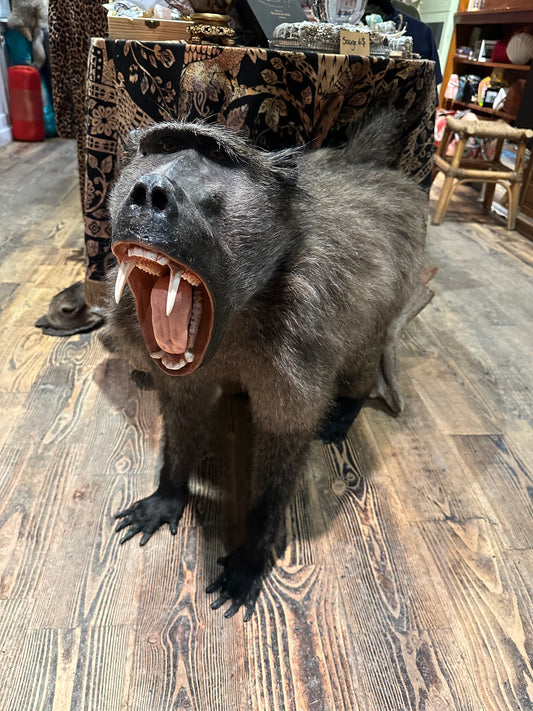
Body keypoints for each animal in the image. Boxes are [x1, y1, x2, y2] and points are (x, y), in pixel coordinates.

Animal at [101, 111, 434, 621]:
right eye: (164, 145)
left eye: (214, 154)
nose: (149, 189)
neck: (242, 311)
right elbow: (185, 410)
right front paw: (168, 495)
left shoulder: (296, 341)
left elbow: (284, 438)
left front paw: (253, 554)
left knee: (364, 356)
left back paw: (346, 409)